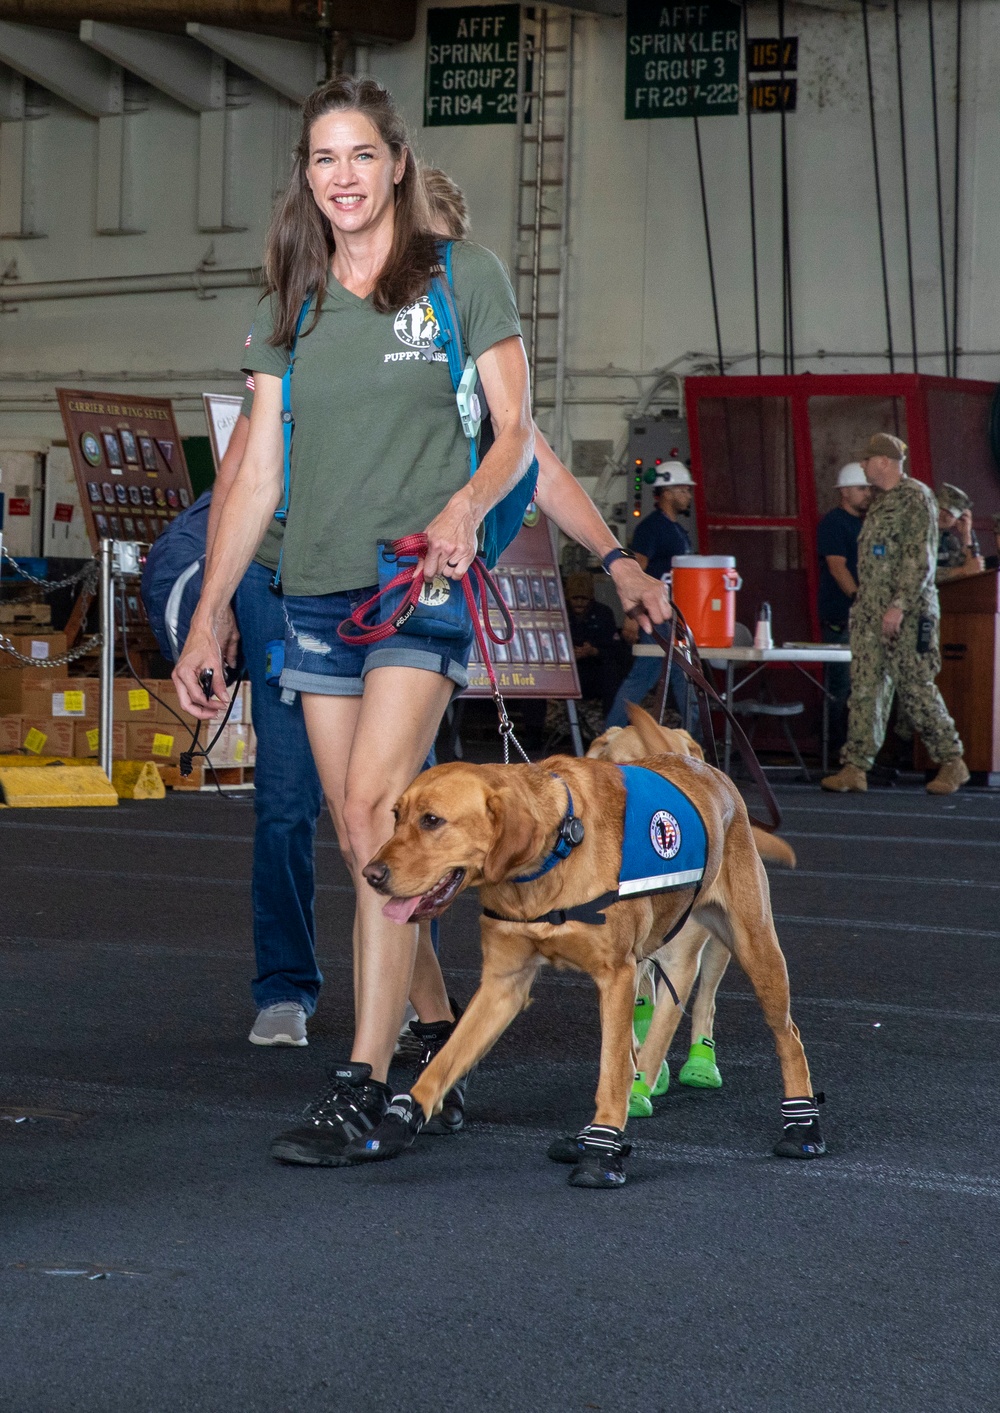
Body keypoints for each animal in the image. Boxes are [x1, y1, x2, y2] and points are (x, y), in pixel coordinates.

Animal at [347, 746, 824, 1186]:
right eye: (396, 816)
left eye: (432, 821)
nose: (371, 874)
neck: (550, 858)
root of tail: (712, 771)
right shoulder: (503, 985)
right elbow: (444, 1062)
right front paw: (401, 1118)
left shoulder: (616, 976)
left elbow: (610, 1071)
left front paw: (603, 1149)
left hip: (754, 947)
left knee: (787, 1036)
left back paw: (802, 1125)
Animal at [584, 700, 796, 1107]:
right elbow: (631, 1025)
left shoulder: (681, 964)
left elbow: (660, 1034)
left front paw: (640, 1088)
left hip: (727, 941)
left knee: (706, 1001)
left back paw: (701, 1062)